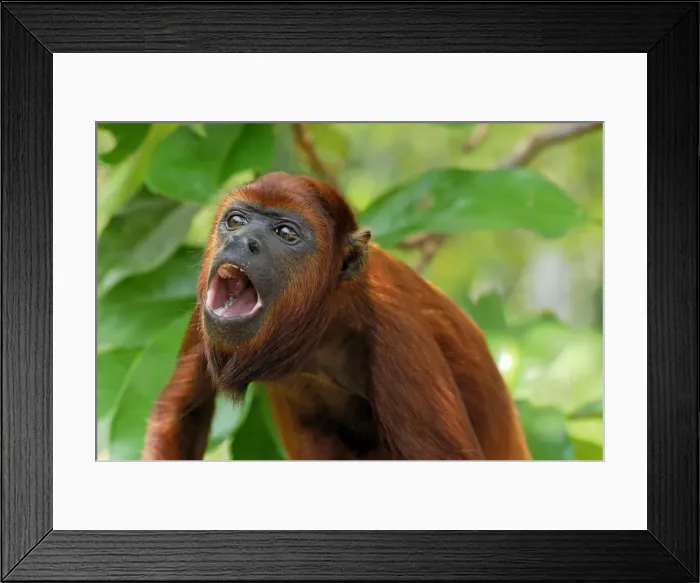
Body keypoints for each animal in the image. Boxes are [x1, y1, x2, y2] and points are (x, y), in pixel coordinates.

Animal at [142, 171, 531, 461]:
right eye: (236, 221)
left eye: (286, 233)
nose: (243, 242)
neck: (324, 325)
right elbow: (181, 411)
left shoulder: (399, 337)